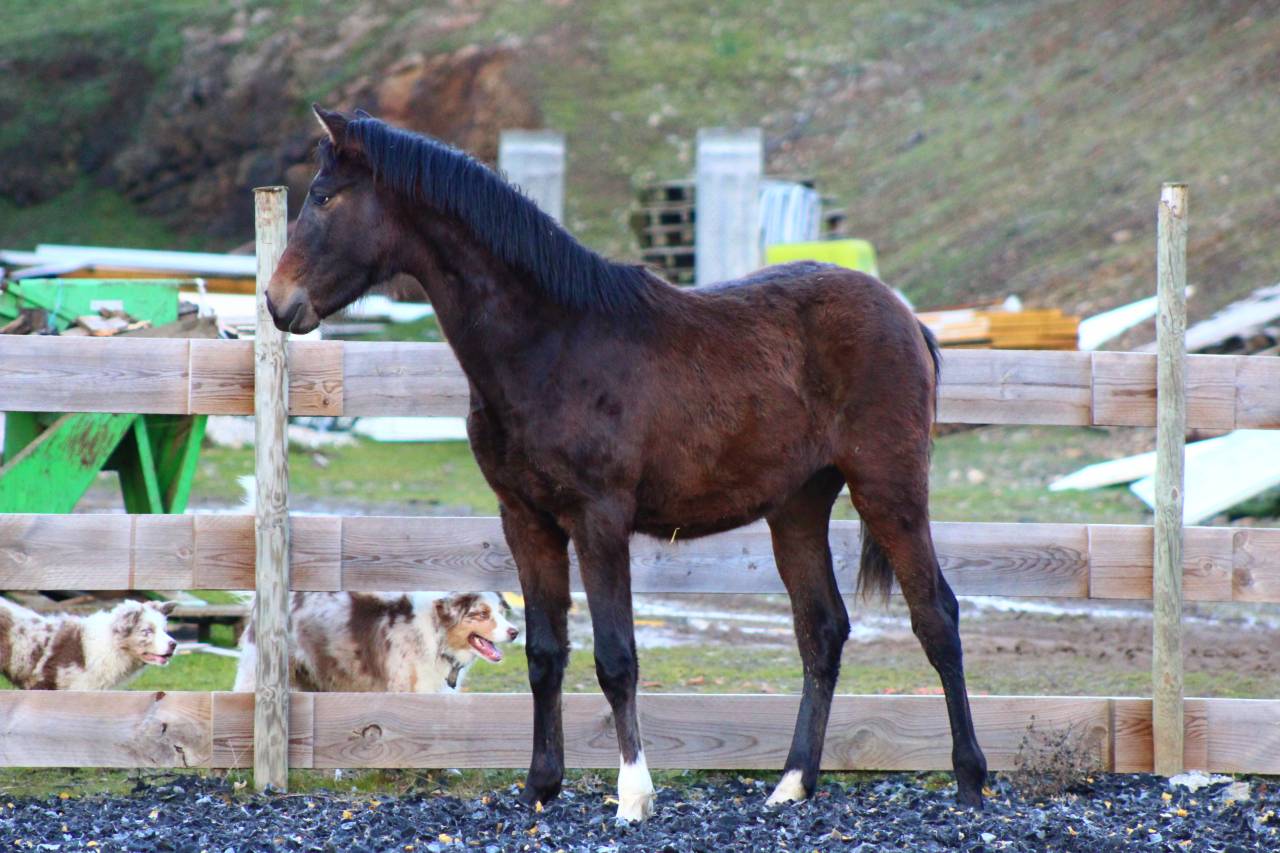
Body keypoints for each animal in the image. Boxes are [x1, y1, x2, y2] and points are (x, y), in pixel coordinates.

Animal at [267, 105, 988, 821]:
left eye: (324, 197)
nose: (277, 302)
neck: (551, 343)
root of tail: (907, 318)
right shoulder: (526, 520)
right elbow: (545, 652)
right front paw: (541, 786)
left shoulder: (599, 520)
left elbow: (616, 658)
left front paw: (633, 795)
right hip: (799, 507)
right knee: (822, 631)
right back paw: (791, 783)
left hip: (889, 489)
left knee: (936, 616)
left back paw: (970, 779)